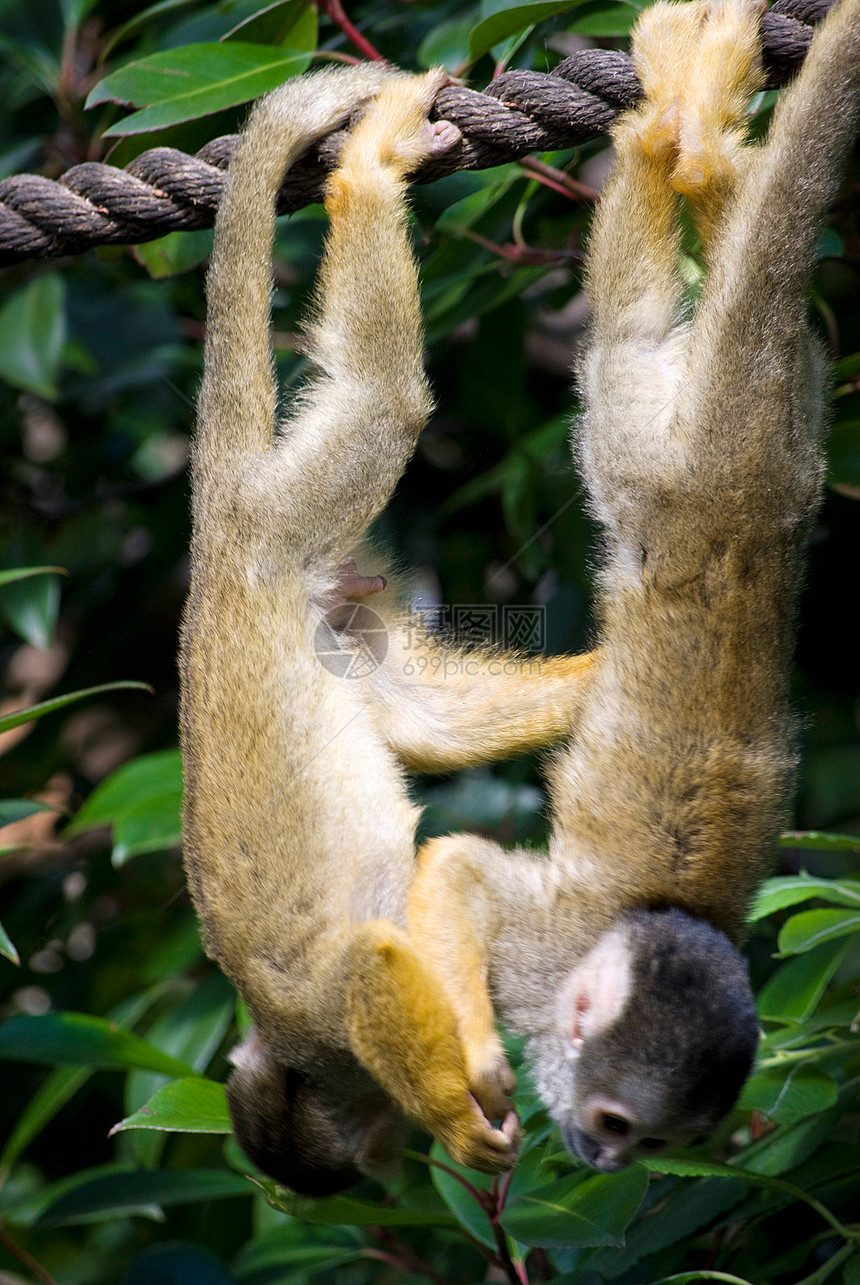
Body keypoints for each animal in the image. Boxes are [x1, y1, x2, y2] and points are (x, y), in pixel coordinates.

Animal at [181, 67, 596, 1192]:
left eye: (363, 1136)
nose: (387, 1160)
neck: (287, 1047)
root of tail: (214, 538)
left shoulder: (321, 1025)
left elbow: (369, 965)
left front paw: (453, 1113)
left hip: (279, 531)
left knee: (383, 399)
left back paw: (367, 173)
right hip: (315, 600)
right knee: (424, 724)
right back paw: (607, 675)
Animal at [408, 0, 858, 1171]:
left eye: (651, 1143)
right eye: (617, 1122)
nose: (602, 1159)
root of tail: (740, 483)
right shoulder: (539, 951)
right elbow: (458, 865)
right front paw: (463, 1083)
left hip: (801, 417)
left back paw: (711, 153)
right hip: (650, 449)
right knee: (622, 334)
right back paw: (674, 141)